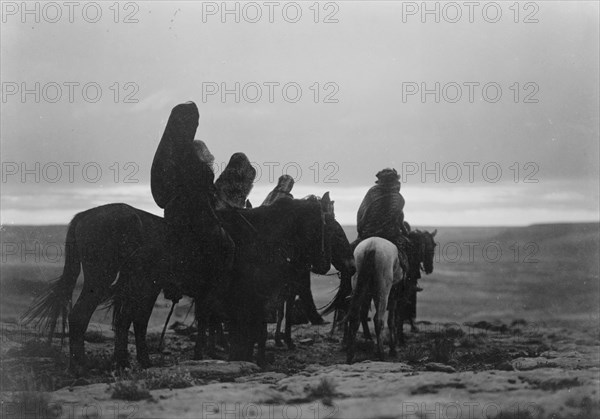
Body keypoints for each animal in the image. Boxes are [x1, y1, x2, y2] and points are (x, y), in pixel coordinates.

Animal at [344, 236, 406, 364]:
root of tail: (371, 246)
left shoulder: (369, 294)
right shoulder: (393, 295)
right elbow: (391, 321)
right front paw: (393, 350)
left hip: (358, 285)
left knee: (355, 318)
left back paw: (350, 356)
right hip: (383, 292)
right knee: (378, 320)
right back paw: (381, 355)